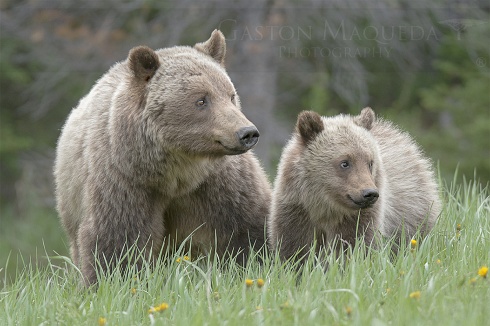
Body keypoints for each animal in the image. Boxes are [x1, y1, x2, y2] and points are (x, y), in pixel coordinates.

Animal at [53, 30, 272, 286]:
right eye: (201, 100)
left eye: (231, 96)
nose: (247, 133)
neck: (176, 172)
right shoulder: (124, 178)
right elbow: (119, 239)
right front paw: (113, 280)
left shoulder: (219, 181)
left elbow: (245, 226)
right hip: (72, 203)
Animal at [270, 108, 442, 264]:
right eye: (345, 163)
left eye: (370, 162)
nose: (370, 193)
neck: (325, 208)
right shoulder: (297, 212)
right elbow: (294, 249)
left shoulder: (358, 218)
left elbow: (355, 247)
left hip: (414, 212)